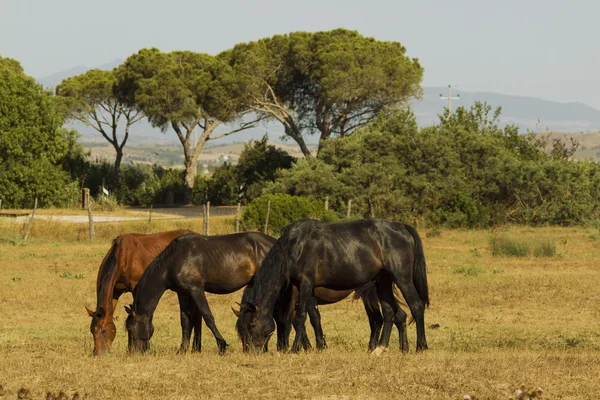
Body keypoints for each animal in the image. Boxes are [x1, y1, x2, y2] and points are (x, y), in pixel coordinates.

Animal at [237, 219, 428, 354]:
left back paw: (421, 347)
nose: (253, 352)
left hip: (402, 279)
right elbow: (314, 317)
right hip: (383, 281)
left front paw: (294, 349)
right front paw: (319, 346)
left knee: (416, 306)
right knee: (391, 313)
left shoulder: (305, 284)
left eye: (252, 324)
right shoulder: (308, 288)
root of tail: (402, 227)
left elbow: (300, 318)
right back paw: (382, 348)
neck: (295, 245)